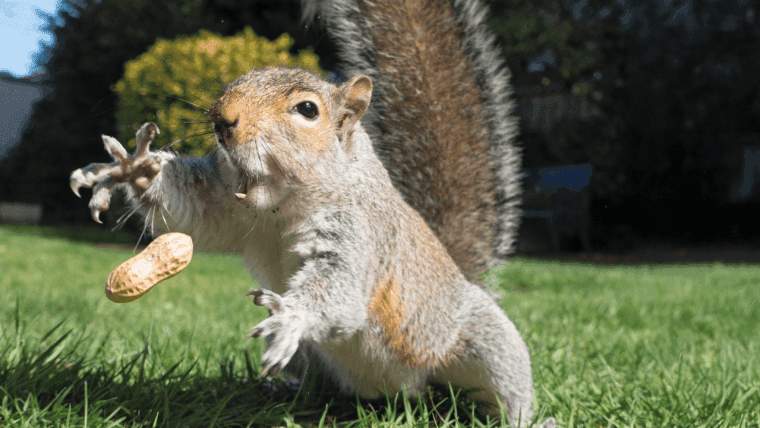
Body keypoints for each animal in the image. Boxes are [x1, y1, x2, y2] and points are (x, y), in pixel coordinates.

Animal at [69, 0, 556, 427]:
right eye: (235, 82)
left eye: (307, 110)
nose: (222, 119)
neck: (282, 205)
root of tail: (400, 395)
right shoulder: (225, 206)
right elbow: (189, 214)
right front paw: (133, 169)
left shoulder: (361, 233)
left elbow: (340, 288)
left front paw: (293, 315)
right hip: (313, 360)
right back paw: (283, 393)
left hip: (482, 345)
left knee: (506, 391)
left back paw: (528, 419)